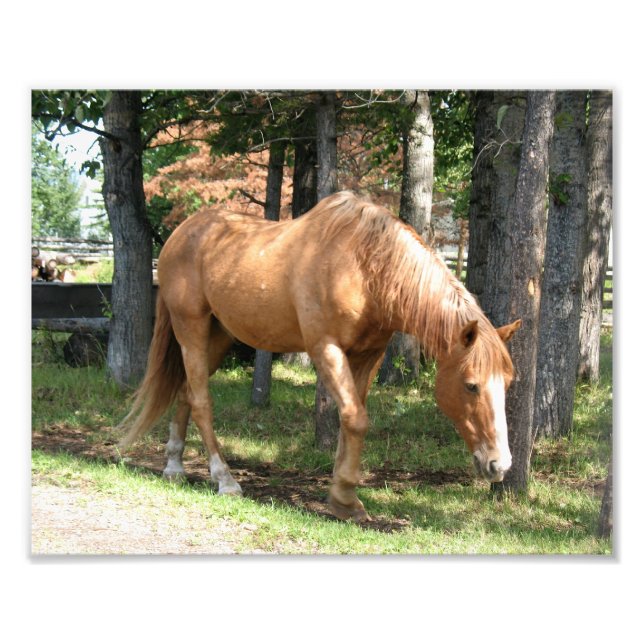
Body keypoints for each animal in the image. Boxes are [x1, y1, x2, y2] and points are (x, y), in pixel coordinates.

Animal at [119, 191, 521, 522]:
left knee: (186, 392)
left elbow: (350, 420)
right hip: (191, 329)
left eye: (507, 384)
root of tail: (179, 235)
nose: (499, 464)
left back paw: (174, 465)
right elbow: (356, 419)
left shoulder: (367, 356)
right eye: (471, 385)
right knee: (201, 401)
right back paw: (225, 479)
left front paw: (342, 496)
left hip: (217, 337)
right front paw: (345, 498)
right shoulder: (325, 348)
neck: (365, 266)